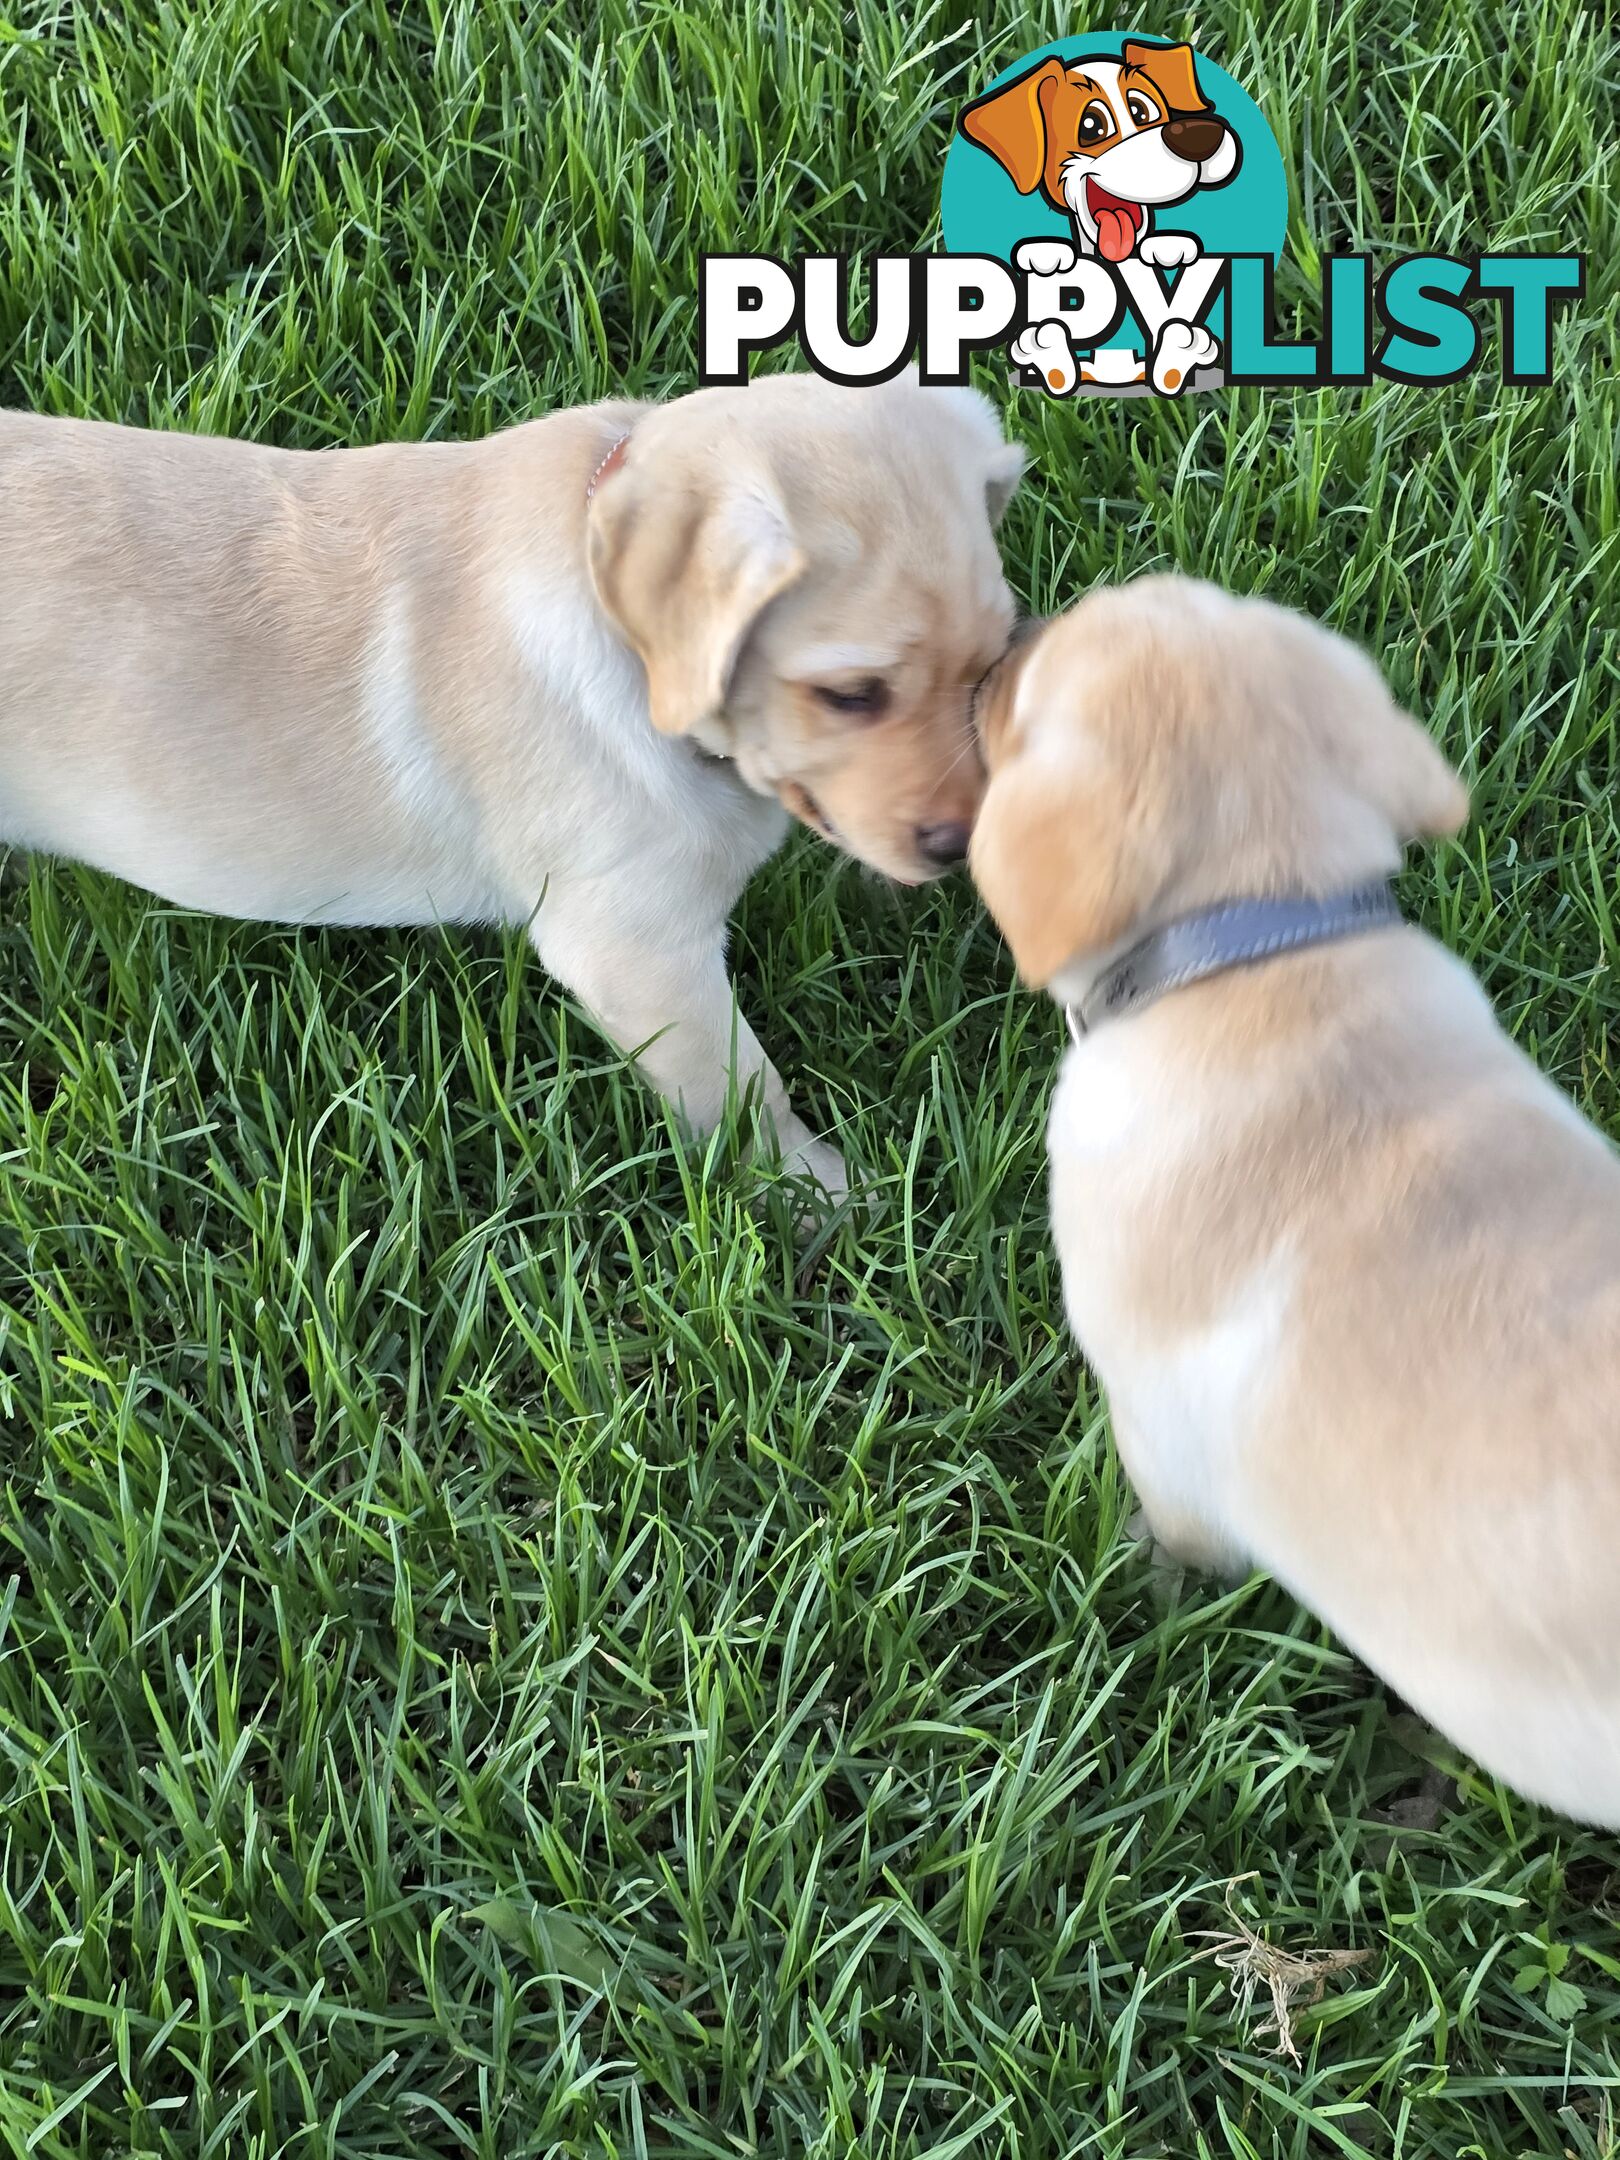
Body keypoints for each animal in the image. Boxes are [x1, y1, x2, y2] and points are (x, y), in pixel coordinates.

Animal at [0, 371, 1019, 1200]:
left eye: (988, 668)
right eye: (850, 694)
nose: (960, 846)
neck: (629, 646)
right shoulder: (638, 954)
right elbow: (743, 1090)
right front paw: (830, 1198)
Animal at [972, 583, 1620, 1831]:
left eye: (1027, 679)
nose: (990, 649)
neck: (1261, 953)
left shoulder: (1158, 1437)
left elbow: (1169, 1548)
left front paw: (1135, 1584)